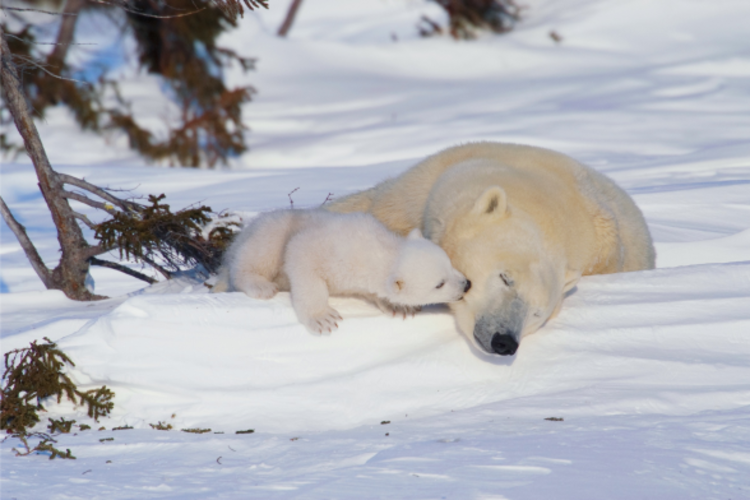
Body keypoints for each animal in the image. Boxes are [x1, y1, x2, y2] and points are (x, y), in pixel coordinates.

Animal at [212, 209, 470, 334]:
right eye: (439, 283)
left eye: (450, 263)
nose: (466, 284)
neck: (375, 250)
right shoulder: (330, 247)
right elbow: (301, 256)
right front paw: (322, 318)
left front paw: (398, 307)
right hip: (271, 229)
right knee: (258, 253)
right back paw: (260, 284)